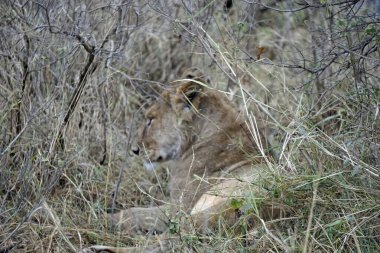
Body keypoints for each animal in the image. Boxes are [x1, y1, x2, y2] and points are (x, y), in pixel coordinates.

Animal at [81, 69, 276, 253]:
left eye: (150, 119)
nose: (135, 150)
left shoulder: (178, 208)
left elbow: (135, 213)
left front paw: (101, 219)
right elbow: (136, 212)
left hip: (209, 212)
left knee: (166, 242)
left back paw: (98, 249)